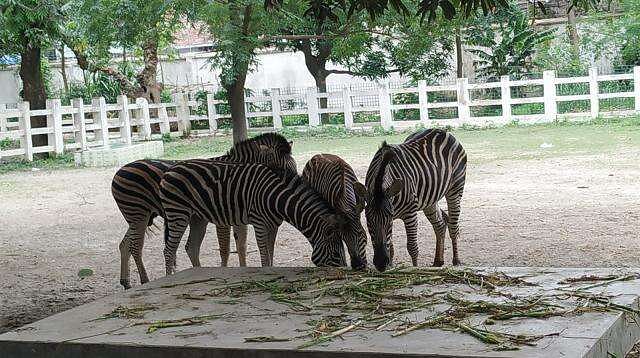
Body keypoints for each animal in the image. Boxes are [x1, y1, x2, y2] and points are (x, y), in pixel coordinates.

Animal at [111, 133, 296, 290]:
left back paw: (126, 282)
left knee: (125, 244)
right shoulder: (223, 217)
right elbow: (225, 249)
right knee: (136, 246)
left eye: (294, 168)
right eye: (283, 171)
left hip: (140, 217)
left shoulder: (237, 214)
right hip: (139, 214)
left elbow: (241, 245)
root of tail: (119, 171)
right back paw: (145, 280)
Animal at [158, 159, 368, 272]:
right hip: (178, 213)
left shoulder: (274, 224)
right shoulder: (259, 222)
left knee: (191, 247)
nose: (352, 268)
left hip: (197, 217)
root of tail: (171, 169)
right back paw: (170, 278)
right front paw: (266, 271)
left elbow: (271, 251)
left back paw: (199, 272)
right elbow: (264, 253)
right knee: (169, 250)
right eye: (336, 252)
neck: (278, 198)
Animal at [364, 129, 464, 272]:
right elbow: (391, 248)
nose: (381, 263)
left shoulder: (410, 213)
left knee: (453, 226)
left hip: (455, 189)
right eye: (368, 221)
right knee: (440, 224)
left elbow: (412, 247)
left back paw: (456, 260)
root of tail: (442, 131)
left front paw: (415, 269)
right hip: (430, 199)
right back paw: (438, 261)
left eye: (388, 220)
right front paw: (390, 267)